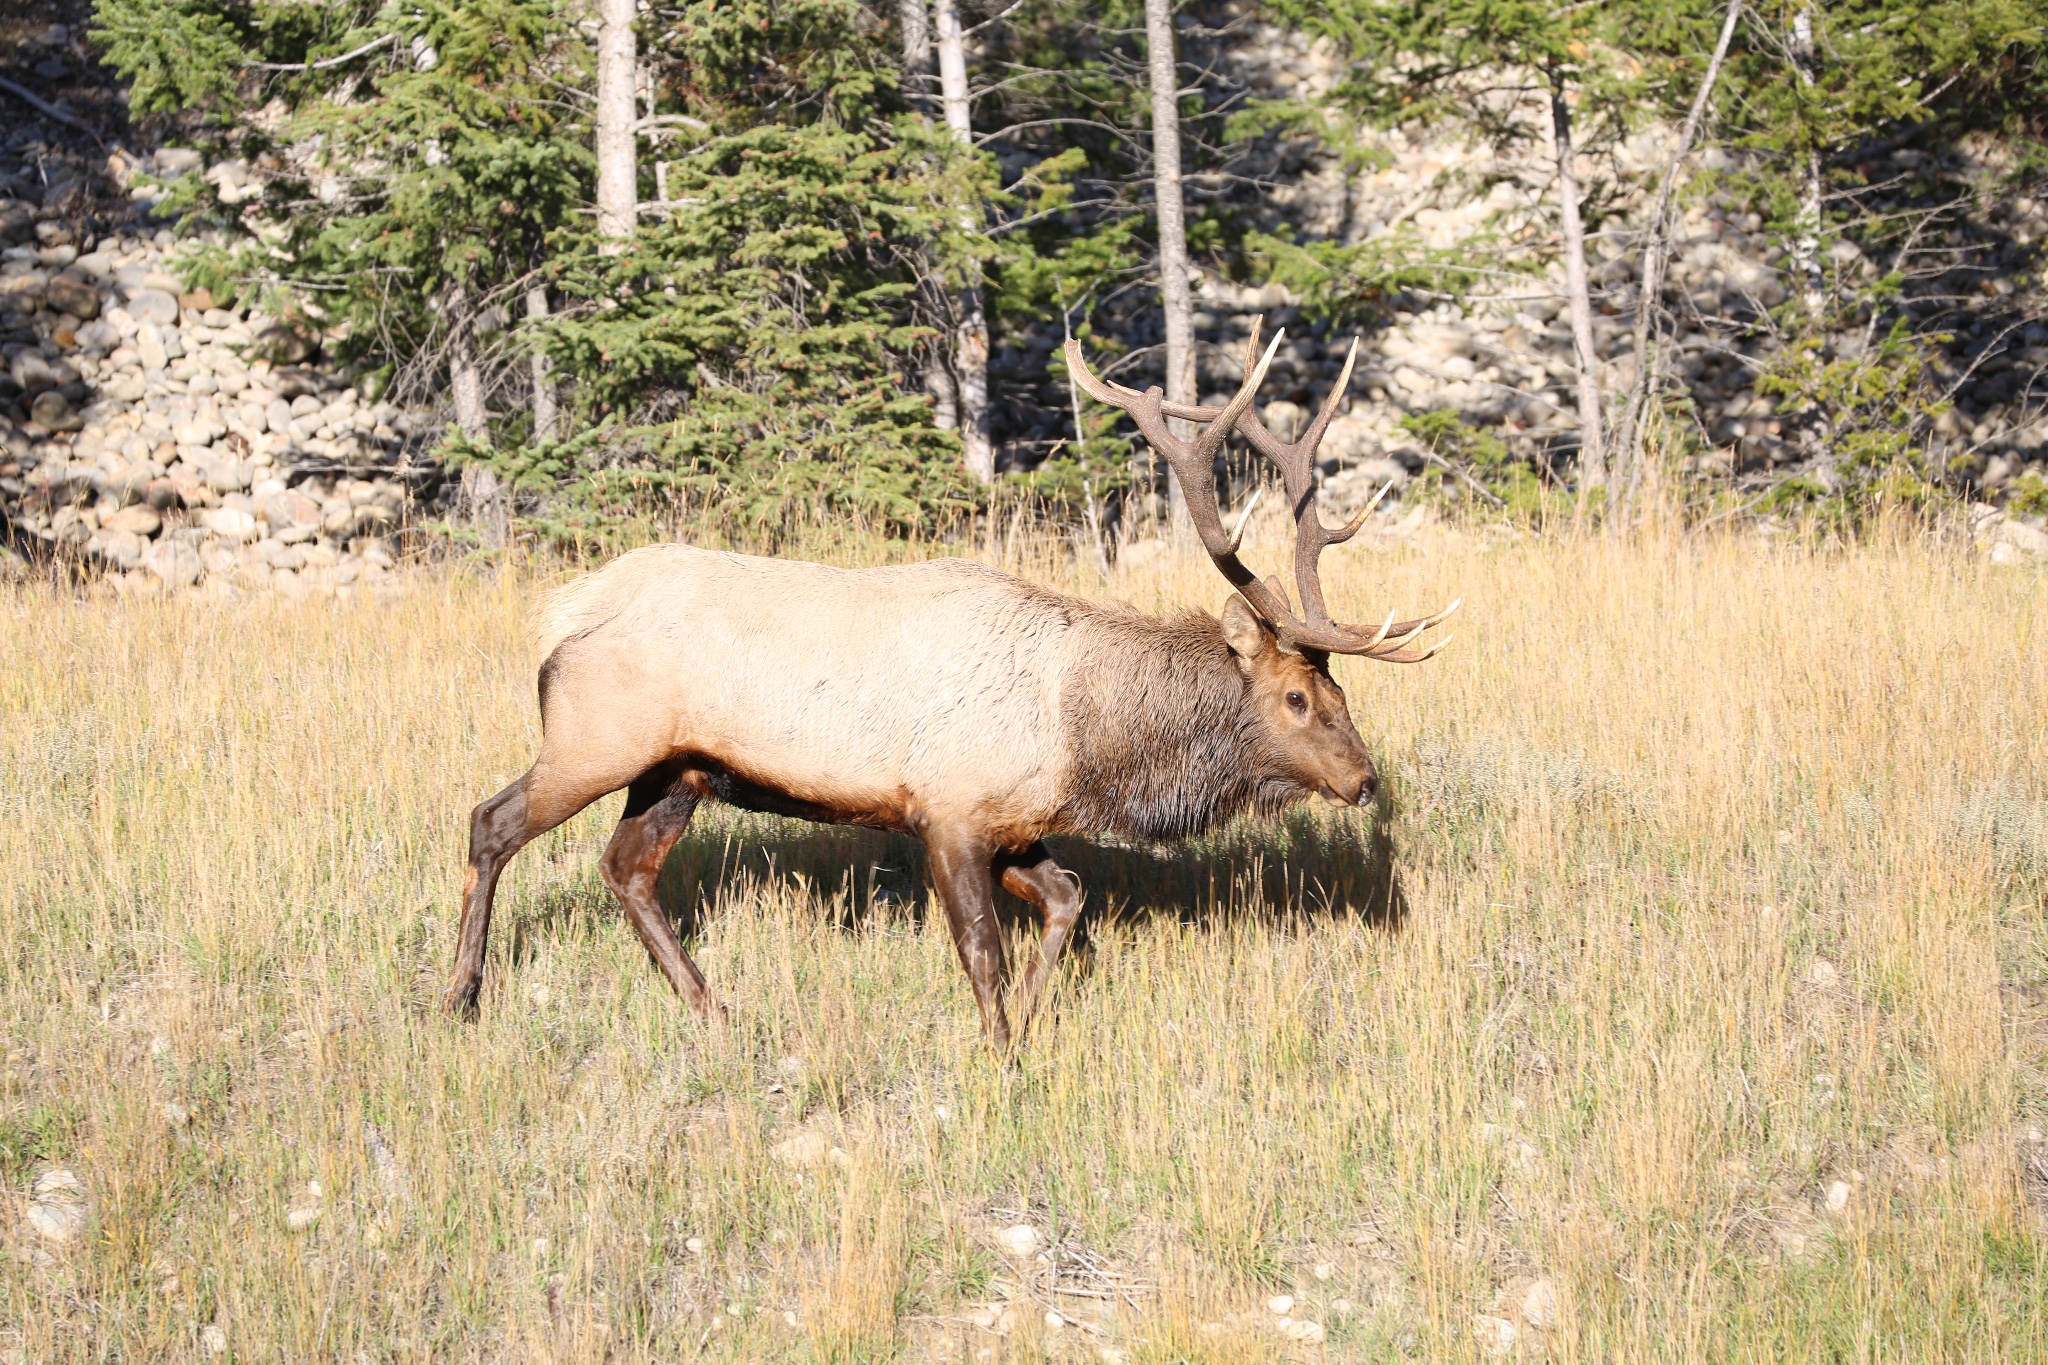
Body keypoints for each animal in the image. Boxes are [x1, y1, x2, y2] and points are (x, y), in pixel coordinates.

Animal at [444, 317, 1458, 1047]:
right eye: (1297, 697)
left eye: (1343, 695)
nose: (1365, 778)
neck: (1084, 736)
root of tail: (560, 610)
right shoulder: (949, 809)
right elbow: (982, 953)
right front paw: (1002, 1058)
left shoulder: (1015, 824)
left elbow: (1069, 901)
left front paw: (1039, 1023)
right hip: (596, 736)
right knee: (491, 820)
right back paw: (461, 994)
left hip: (680, 769)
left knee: (626, 867)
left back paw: (713, 1006)